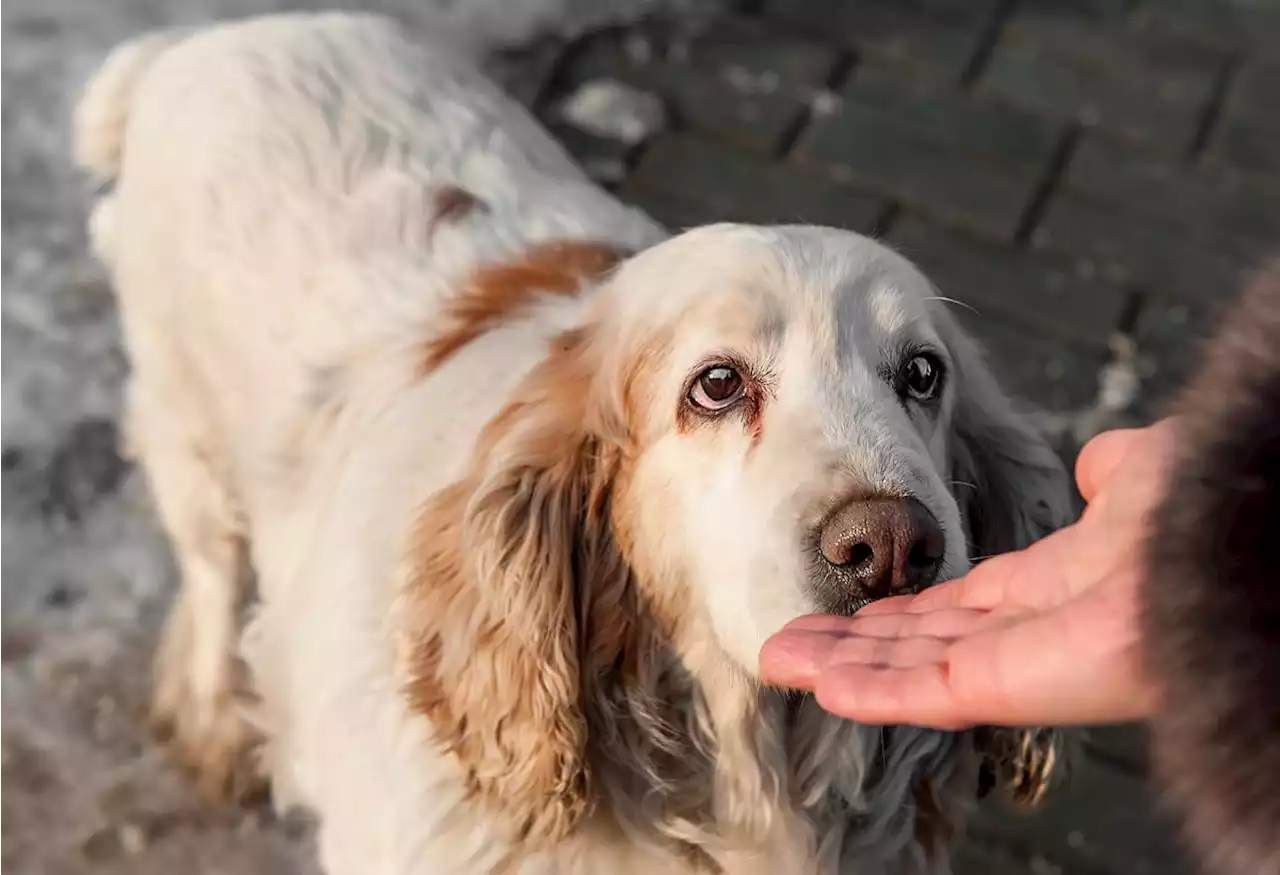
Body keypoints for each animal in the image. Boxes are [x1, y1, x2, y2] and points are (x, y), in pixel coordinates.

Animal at [74, 13, 1075, 875]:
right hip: (188, 432)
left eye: (923, 374)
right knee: (212, 577)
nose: (893, 546)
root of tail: (206, 38)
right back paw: (215, 721)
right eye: (717, 385)